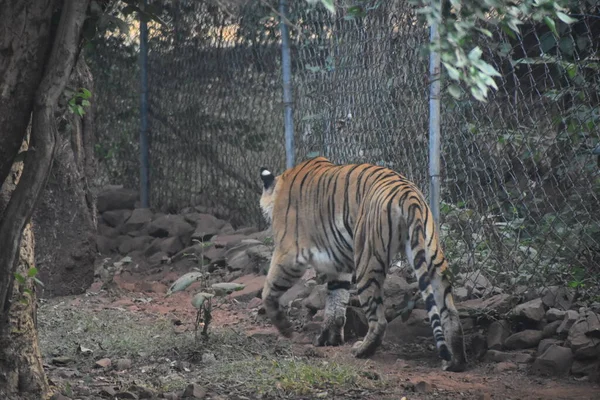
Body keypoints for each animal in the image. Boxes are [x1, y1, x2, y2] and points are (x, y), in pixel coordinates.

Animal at [258, 155, 468, 372]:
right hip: (432, 257)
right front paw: (329, 338)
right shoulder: (339, 264)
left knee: (379, 320)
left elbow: (269, 288)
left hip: (367, 261)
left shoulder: (289, 252)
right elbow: (336, 299)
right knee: (450, 312)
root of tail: (408, 194)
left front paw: (284, 328)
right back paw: (454, 361)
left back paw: (362, 349)